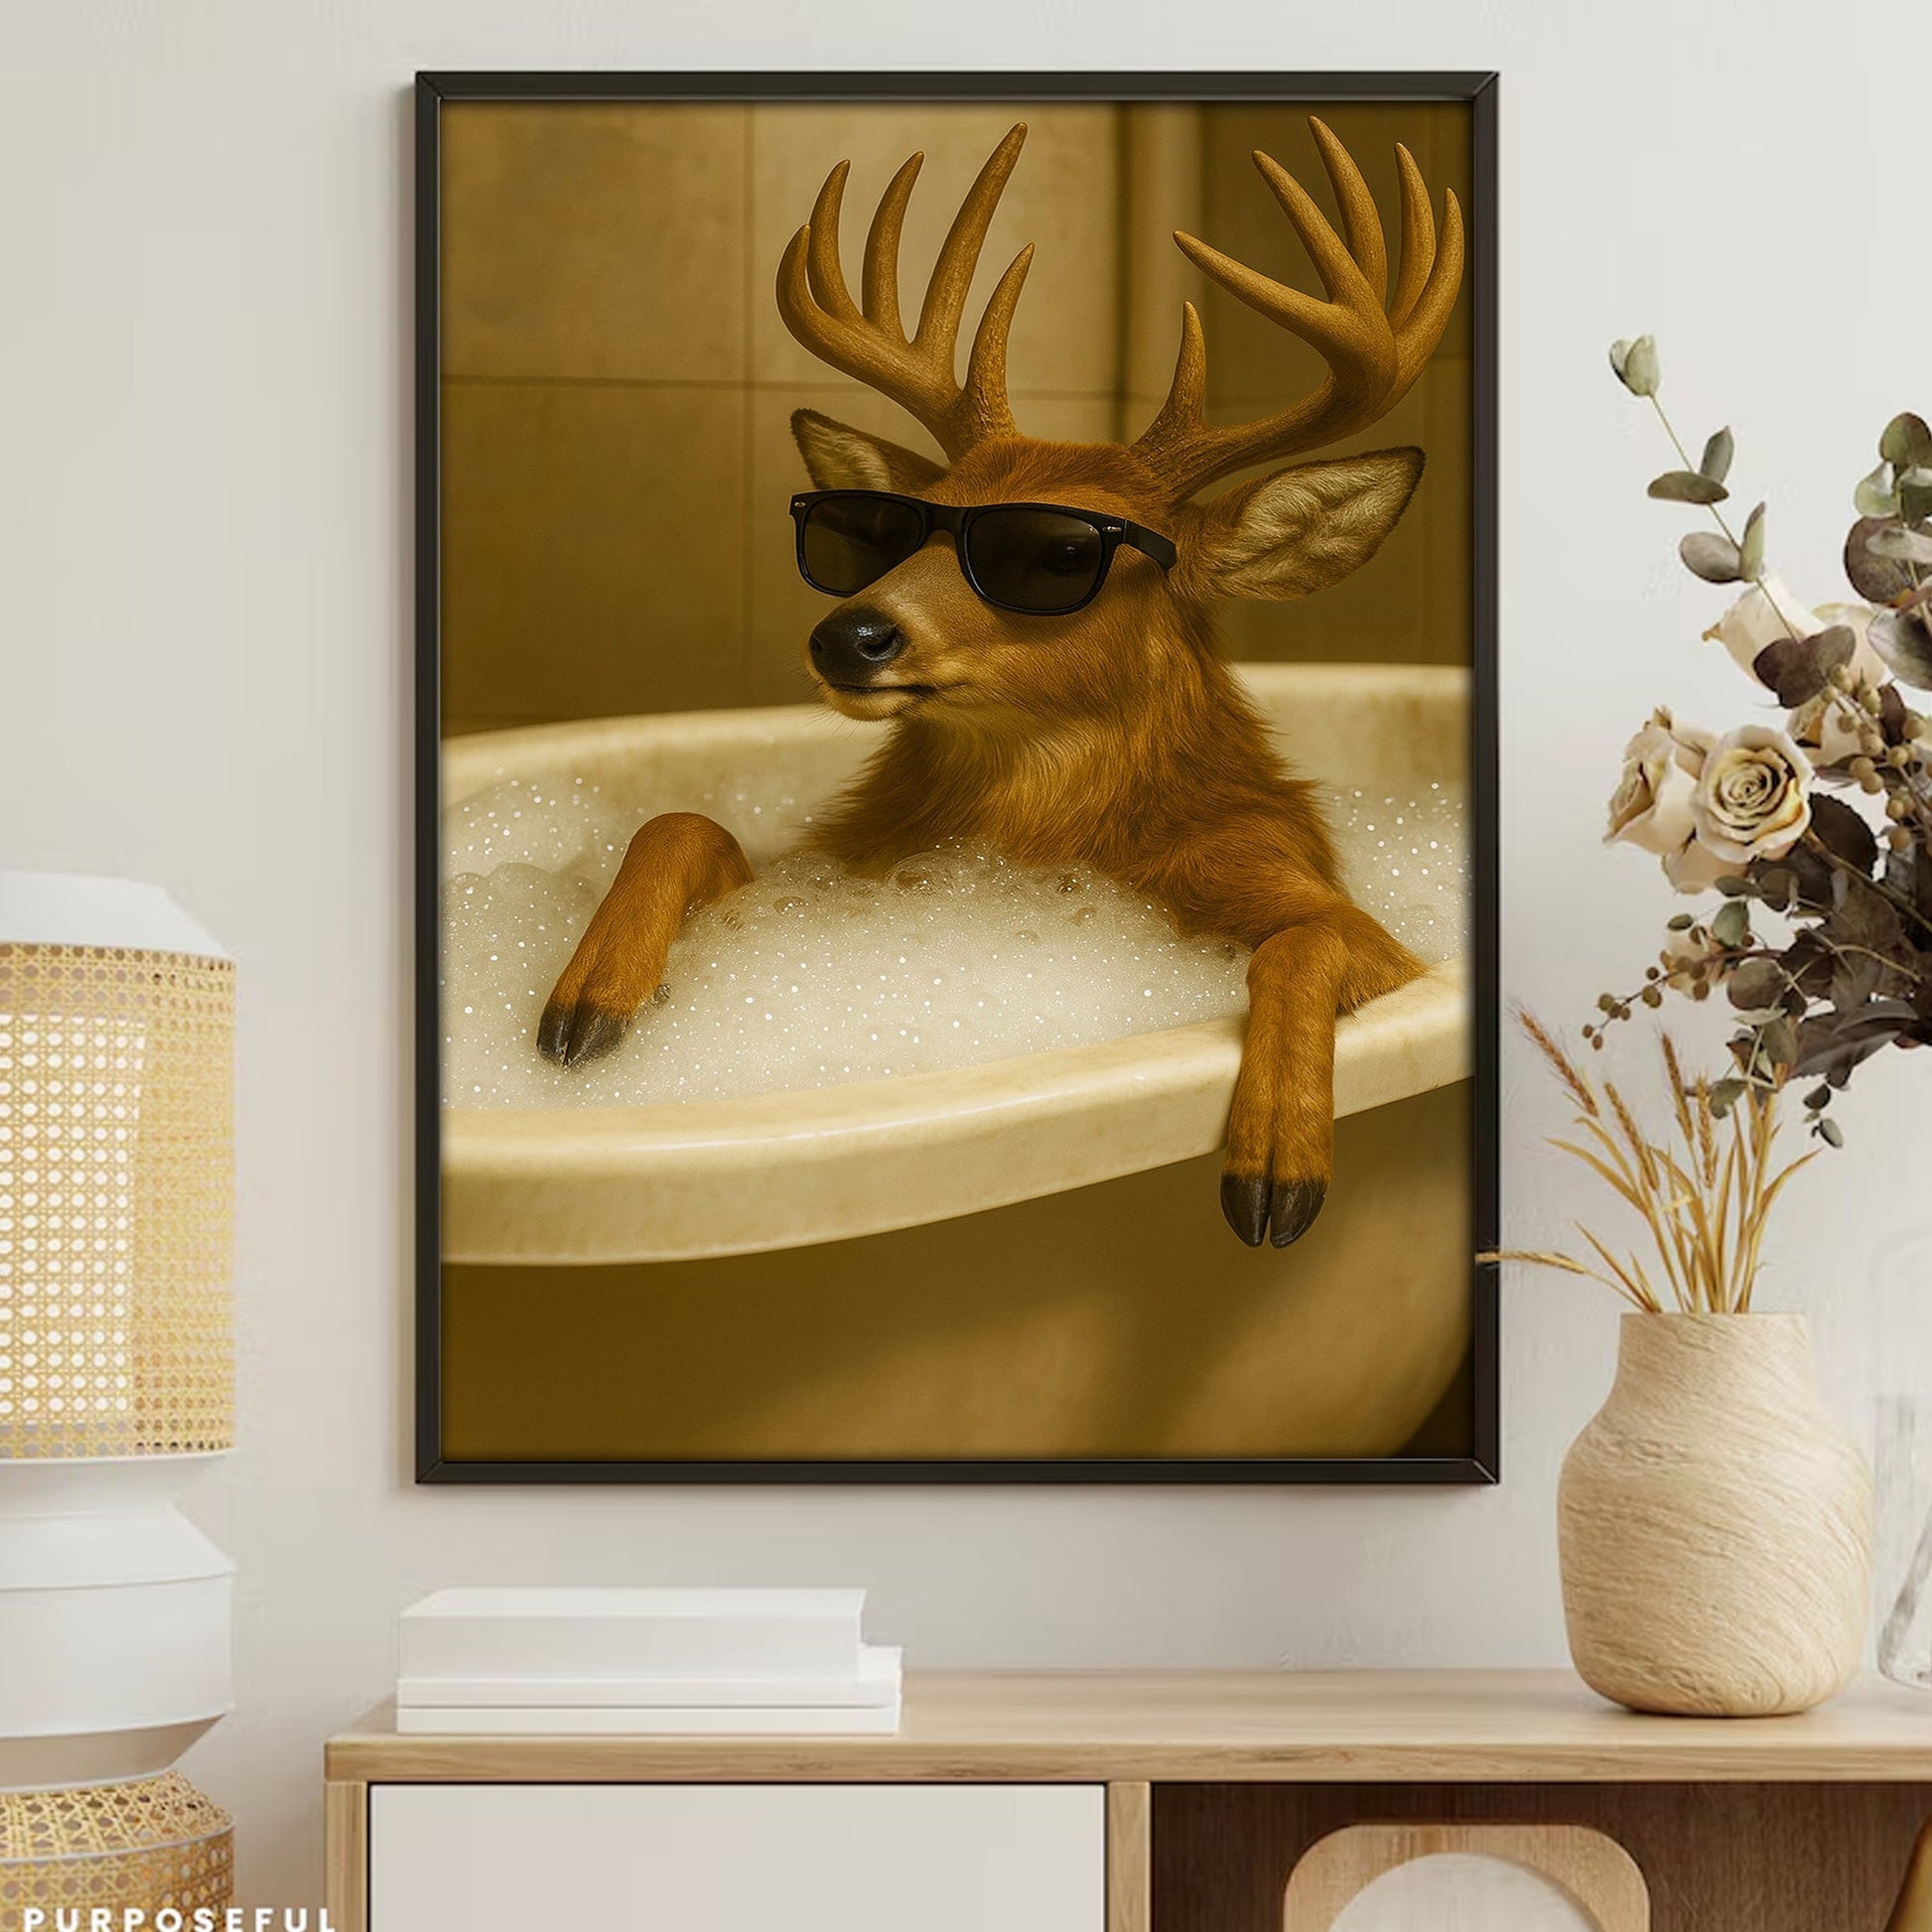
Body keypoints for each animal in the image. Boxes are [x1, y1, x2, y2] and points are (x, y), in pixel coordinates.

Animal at [537, 118, 1465, 1250]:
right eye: (888, 524)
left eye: (1060, 551)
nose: (848, 634)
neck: (1031, 835)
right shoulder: (832, 874)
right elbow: (678, 819)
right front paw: (589, 1000)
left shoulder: (1351, 920)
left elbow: (1306, 938)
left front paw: (1275, 1161)